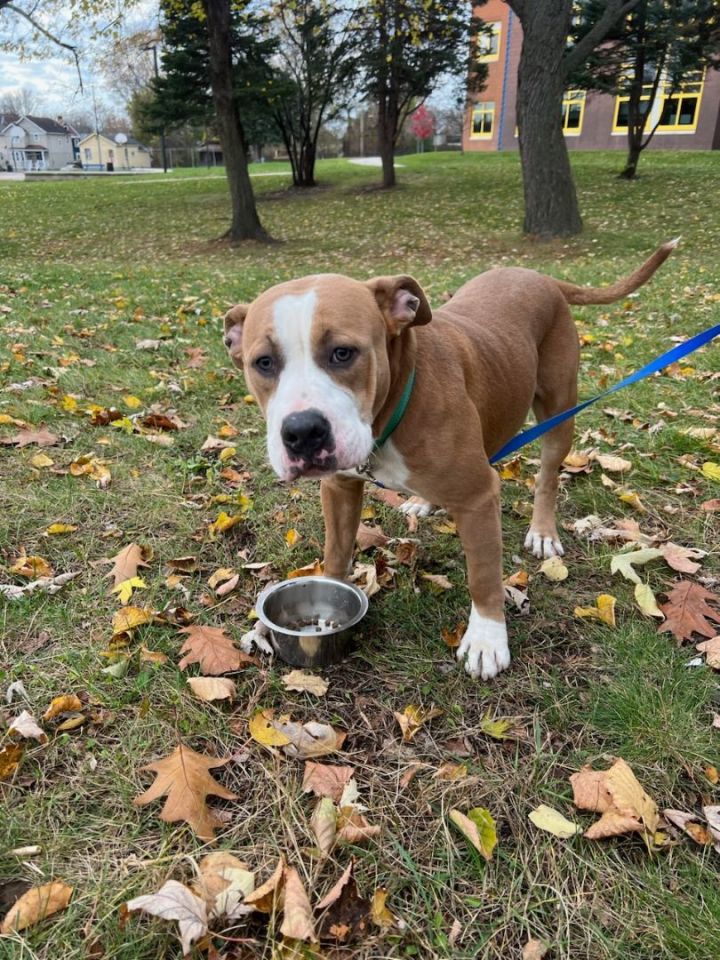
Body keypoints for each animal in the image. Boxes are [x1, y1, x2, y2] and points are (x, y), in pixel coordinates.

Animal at [225, 248, 676, 684]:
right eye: (263, 363)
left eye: (343, 353)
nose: (302, 432)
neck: (393, 406)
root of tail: (541, 277)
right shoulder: (338, 486)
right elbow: (336, 551)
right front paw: (327, 594)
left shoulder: (477, 495)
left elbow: (483, 574)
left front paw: (487, 639)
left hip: (558, 411)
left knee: (548, 476)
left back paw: (543, 532)